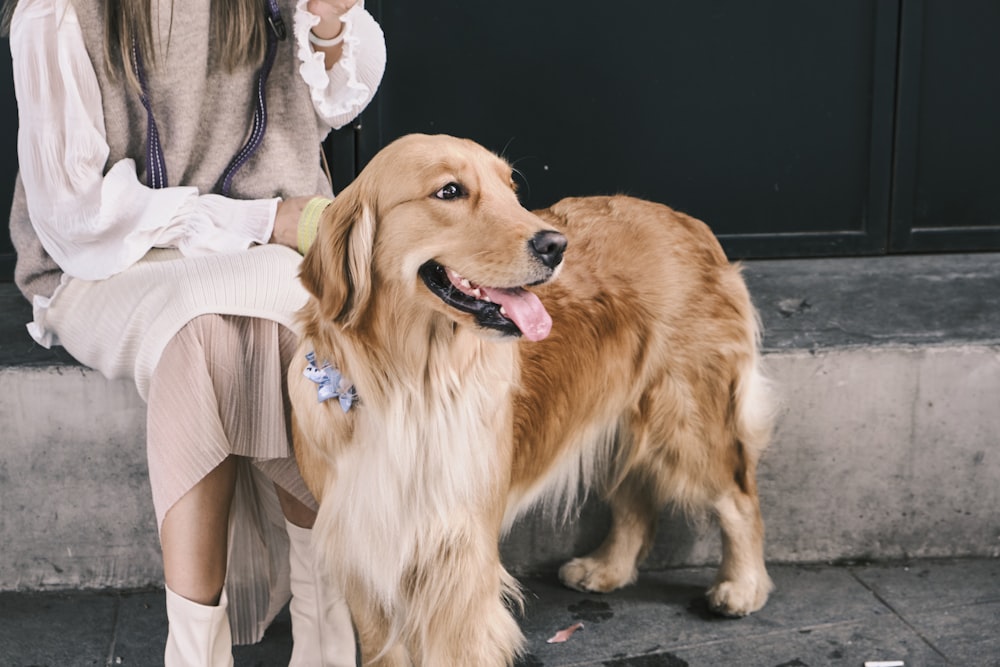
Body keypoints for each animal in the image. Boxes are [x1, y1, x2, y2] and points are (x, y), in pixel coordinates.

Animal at [290, 133, 772, 664]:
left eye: (511, 188)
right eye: (449, 191)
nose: (555, 245)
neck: (414, 384)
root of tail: (688, 221)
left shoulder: (460, 554)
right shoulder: (365, 553)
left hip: (688, 418)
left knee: (738, 498)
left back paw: (743, 586)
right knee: (635, 497)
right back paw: (607, 567)